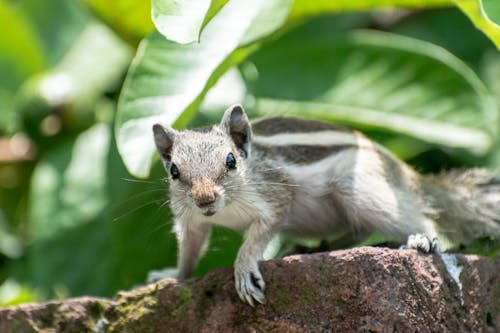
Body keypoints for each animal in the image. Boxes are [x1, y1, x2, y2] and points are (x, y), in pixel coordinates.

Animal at [151, 104, 500, 306]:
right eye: (174, 171)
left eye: (230, 161)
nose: (205, 199)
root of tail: (405, 174)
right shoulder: (191, 220)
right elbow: (190, 248)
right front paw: (173, 275)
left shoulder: (275, 198)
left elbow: (256, 238)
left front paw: (244, 267)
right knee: (359, 231)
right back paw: (314, 248)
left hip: (363, 189)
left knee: (415, 219)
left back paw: (421, 238)